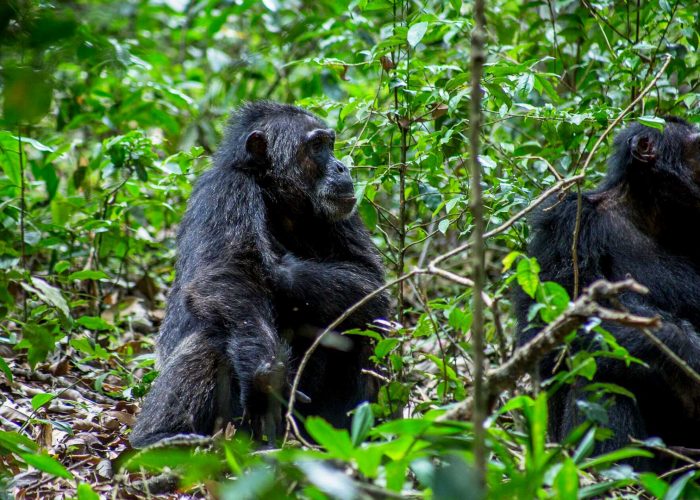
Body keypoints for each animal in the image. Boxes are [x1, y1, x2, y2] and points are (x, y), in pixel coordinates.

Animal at [131, 99, 392, 448]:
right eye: (317, 146)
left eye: (330, 144)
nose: (341, 166)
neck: (277, 196)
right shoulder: (227, 192)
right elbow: (227, 274)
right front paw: (265, 376)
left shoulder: (345, 213)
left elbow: (368, 277)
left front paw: (281, 270)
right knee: (217, 330)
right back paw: (159, 437)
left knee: (358, 324)